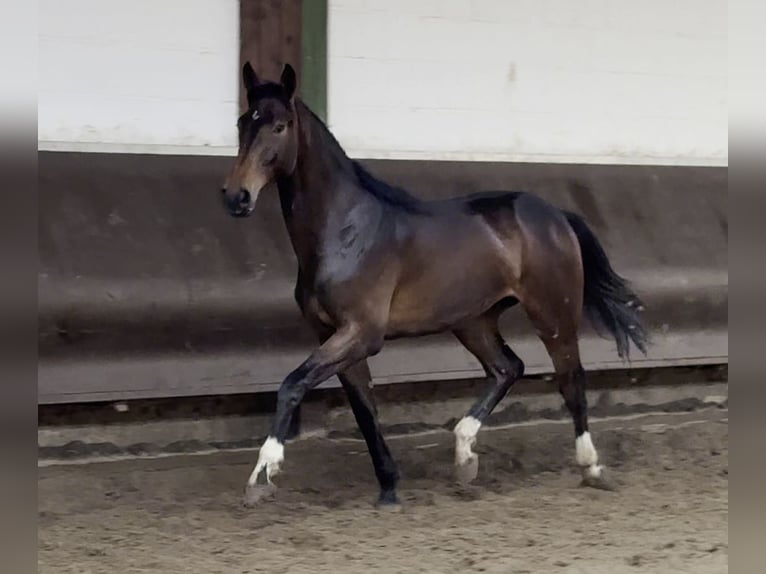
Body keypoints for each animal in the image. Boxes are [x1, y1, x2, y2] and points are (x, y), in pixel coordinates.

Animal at [222, 63, 648, 510]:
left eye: (280, 126)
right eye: (242, 123)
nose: (237, 196)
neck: (346, 230)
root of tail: (556, 215)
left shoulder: (361, 334)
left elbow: (292, 384)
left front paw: (262, 474)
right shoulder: (334, 336)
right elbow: (364, 410)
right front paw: (389, 488)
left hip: (552, 312)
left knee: (571, 380)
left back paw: (592, 468)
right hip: (474, 321)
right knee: (507, 368)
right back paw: (464, 456)